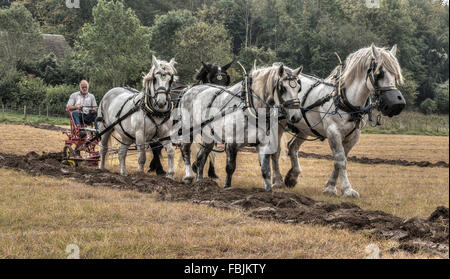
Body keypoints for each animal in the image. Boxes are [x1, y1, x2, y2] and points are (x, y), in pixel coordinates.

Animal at [176, 63, 302, 192]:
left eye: (299, 88)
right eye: (283, 88)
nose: (296, 116)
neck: (249, 106)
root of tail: (189, 90)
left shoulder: (263, 144)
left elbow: (265, 170)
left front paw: (268, 191)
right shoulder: (232, 142)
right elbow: (230, 167)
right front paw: (227, 187)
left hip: (209, 136)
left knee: (201, 157)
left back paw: (200, 183)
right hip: (188, 130)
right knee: (185, 149)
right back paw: (188, 177)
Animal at [276, 43, 406, 198]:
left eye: (396, 74)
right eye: (379, 73)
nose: (397, 104)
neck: (344, 100)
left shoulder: (353, 135)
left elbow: (341, 159)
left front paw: (330, 187)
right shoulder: (333, 132)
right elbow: (340, 159)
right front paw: (346, 189)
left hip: (304, 129)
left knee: (293, 147)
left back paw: (292, 177)